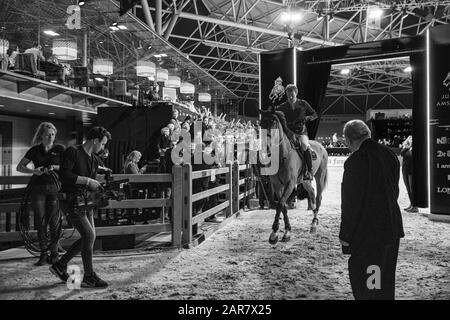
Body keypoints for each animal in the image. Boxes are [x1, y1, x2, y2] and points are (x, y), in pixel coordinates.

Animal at [258, 109, 328, 244]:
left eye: (273, 123)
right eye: (260, 124)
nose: (265, 147)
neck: (282, 156)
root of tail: (322, 146)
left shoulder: (289, 184)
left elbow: (280, 204)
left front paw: (275, 233)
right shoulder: (277, 185)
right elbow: (283, 206)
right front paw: (286, 231)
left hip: (320, 176)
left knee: (319, 197)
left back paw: (314, 224)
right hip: (306, 181)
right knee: (311, 192)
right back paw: (312, 214)